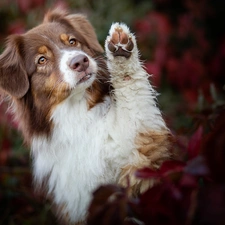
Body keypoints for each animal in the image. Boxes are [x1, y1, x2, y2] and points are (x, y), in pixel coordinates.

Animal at [0, 7, 171, 224]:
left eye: (72, 41)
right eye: (42, 60)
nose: (80, 61)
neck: (78, 115)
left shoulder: (142, 154)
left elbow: (133, 96)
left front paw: (121, 50)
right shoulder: (77, 200)